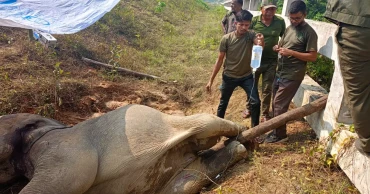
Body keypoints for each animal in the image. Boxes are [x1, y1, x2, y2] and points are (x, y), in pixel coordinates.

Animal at [0, 104, 249, 194]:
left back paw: (241, 131)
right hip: (173, 178)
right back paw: (238, 148)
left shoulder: (63, 148)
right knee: (187, 181)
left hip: (178, 122)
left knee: (205, 124)